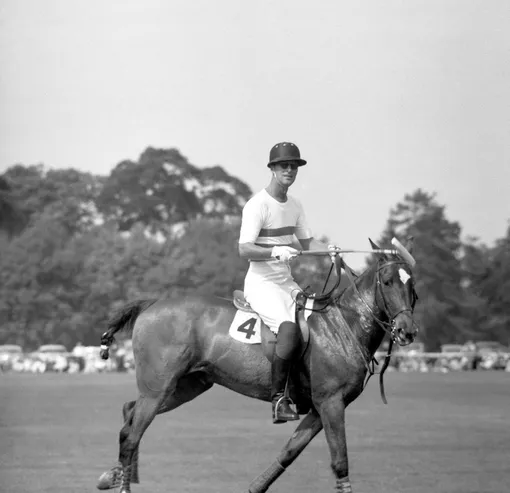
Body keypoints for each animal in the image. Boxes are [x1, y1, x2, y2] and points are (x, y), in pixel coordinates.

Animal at [95, 237, 418, 488]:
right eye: (387, 281)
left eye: (412, 284)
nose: (407, 331)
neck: (344, 326)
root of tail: (150, 304)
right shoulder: (331, 402)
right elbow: (340, 462)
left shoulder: (320, 408)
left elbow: (289, 452)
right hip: (158, 387)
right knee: (131, 434)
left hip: (186, 386)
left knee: (129, 414)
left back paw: (116, 476)